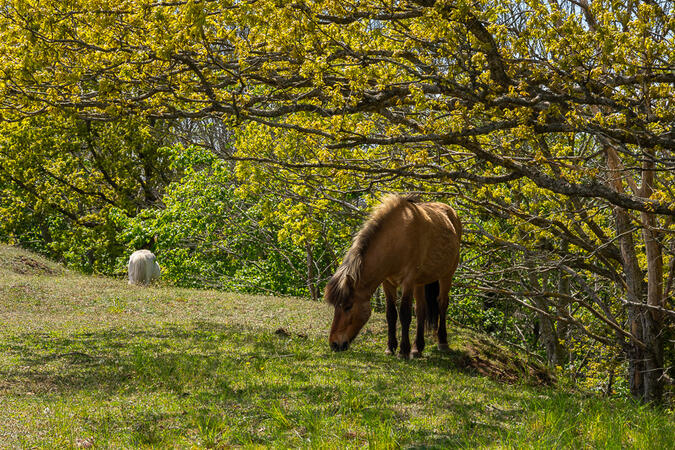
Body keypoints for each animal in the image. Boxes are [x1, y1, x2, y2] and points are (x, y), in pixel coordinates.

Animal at [326, 194, 462, 358]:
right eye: (335, 306)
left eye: (348, 306)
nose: (334, 344)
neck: (397, 239)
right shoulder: (387, 282)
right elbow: (391, 314)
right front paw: (390, 347)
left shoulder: (408, 281)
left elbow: (404, 314)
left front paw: (403, 350)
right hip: (420, 282)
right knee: (421, 309)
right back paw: (417, 348)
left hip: (447, 274)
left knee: (442, 303)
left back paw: (442, 342)